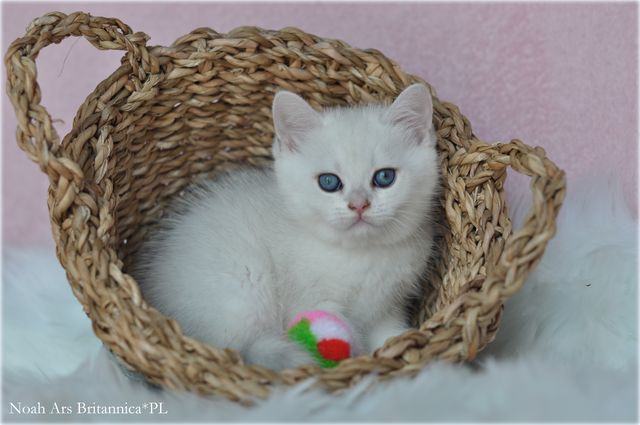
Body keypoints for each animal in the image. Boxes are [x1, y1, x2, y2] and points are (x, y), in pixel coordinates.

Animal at [132, 84, 440, 370]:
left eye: (385, 177)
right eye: (329, 182)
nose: (359, 205)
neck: (360, 257)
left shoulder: (388, 307)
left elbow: (391, 336)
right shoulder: (305, 300)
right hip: (244, 284)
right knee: (241, 347)